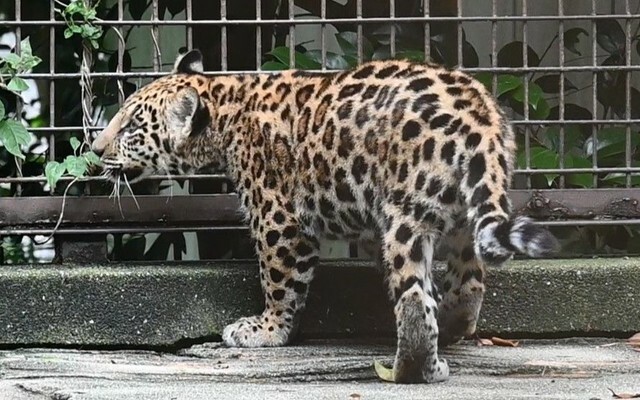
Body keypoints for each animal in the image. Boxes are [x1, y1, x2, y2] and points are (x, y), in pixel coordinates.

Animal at [92, 48, 556, 382]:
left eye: (132, 127)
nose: (95, 149)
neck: (226, 105)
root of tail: (479, 118)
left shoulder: (277, 218)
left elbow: (279, 281)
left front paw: (267, 331)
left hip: (407, 213)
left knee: (412, 298)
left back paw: (412, 369)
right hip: (462, 218)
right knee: (469, 281)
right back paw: (453, 324)